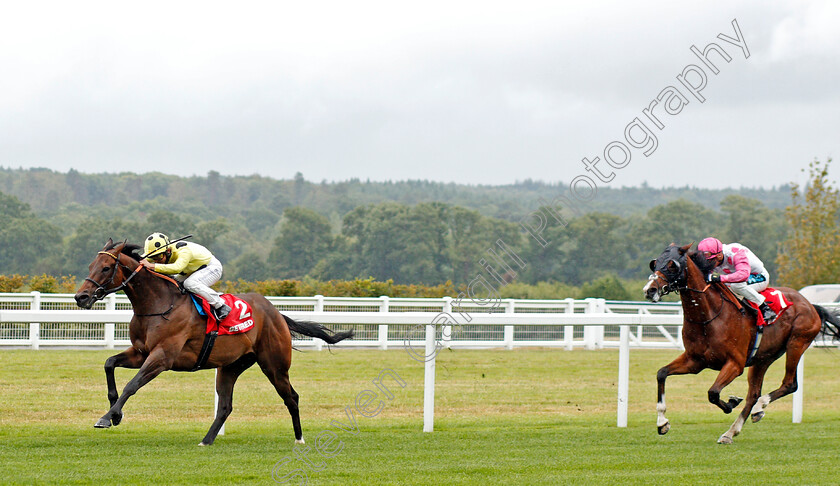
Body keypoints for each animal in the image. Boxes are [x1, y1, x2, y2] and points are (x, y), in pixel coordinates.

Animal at [69, 238, 352, 444]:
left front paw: (107, 417)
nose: (81, 297)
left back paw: (299, 439)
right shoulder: (141, 352)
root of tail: (276, 313)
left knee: (291, 397)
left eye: (106, 268)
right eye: (91, 266)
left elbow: (132, 385)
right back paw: (206, 440)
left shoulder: (162, 357)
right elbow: (109, 363)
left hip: (274, 365)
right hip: (230, 366)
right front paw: (115, 412)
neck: (159, 304)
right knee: (225, 406)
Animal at [644, 243, 840, 444]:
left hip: (797, 343)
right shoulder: (695, 361)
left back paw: (759, 407)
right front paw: (662, 423)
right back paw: (732, 431)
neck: (709, 316)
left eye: (672, 265)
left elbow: (713, 393)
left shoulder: (735, 364)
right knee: (753, 394)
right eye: (655, 263)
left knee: (789, 384)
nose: (650, 290)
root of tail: (811, 306)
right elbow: (662, 373)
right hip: (763, 358)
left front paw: (731, 402)